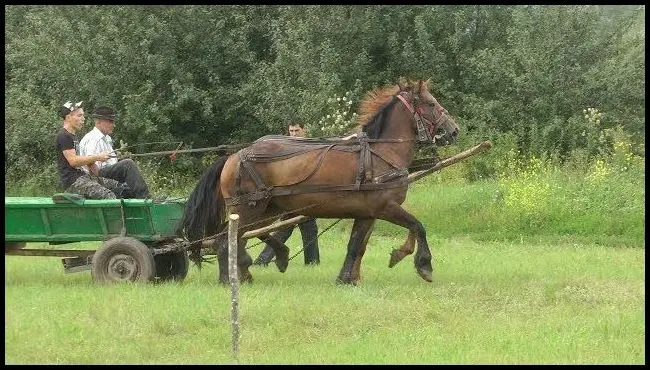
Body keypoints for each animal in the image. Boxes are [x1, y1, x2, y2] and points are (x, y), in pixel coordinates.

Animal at [175, 79, 458, 286]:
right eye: (431, 103)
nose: (454, 130)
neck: (381, 154)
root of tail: (234, 156)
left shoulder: (367, 213)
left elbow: (357, 246)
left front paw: (348, 279)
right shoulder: (385, 206)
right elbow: (418, 226)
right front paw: (423, 264)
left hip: (264, 209)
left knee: (238, 238)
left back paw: (255, 267)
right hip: (249, 209)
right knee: (226, 240)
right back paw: (230, 278)